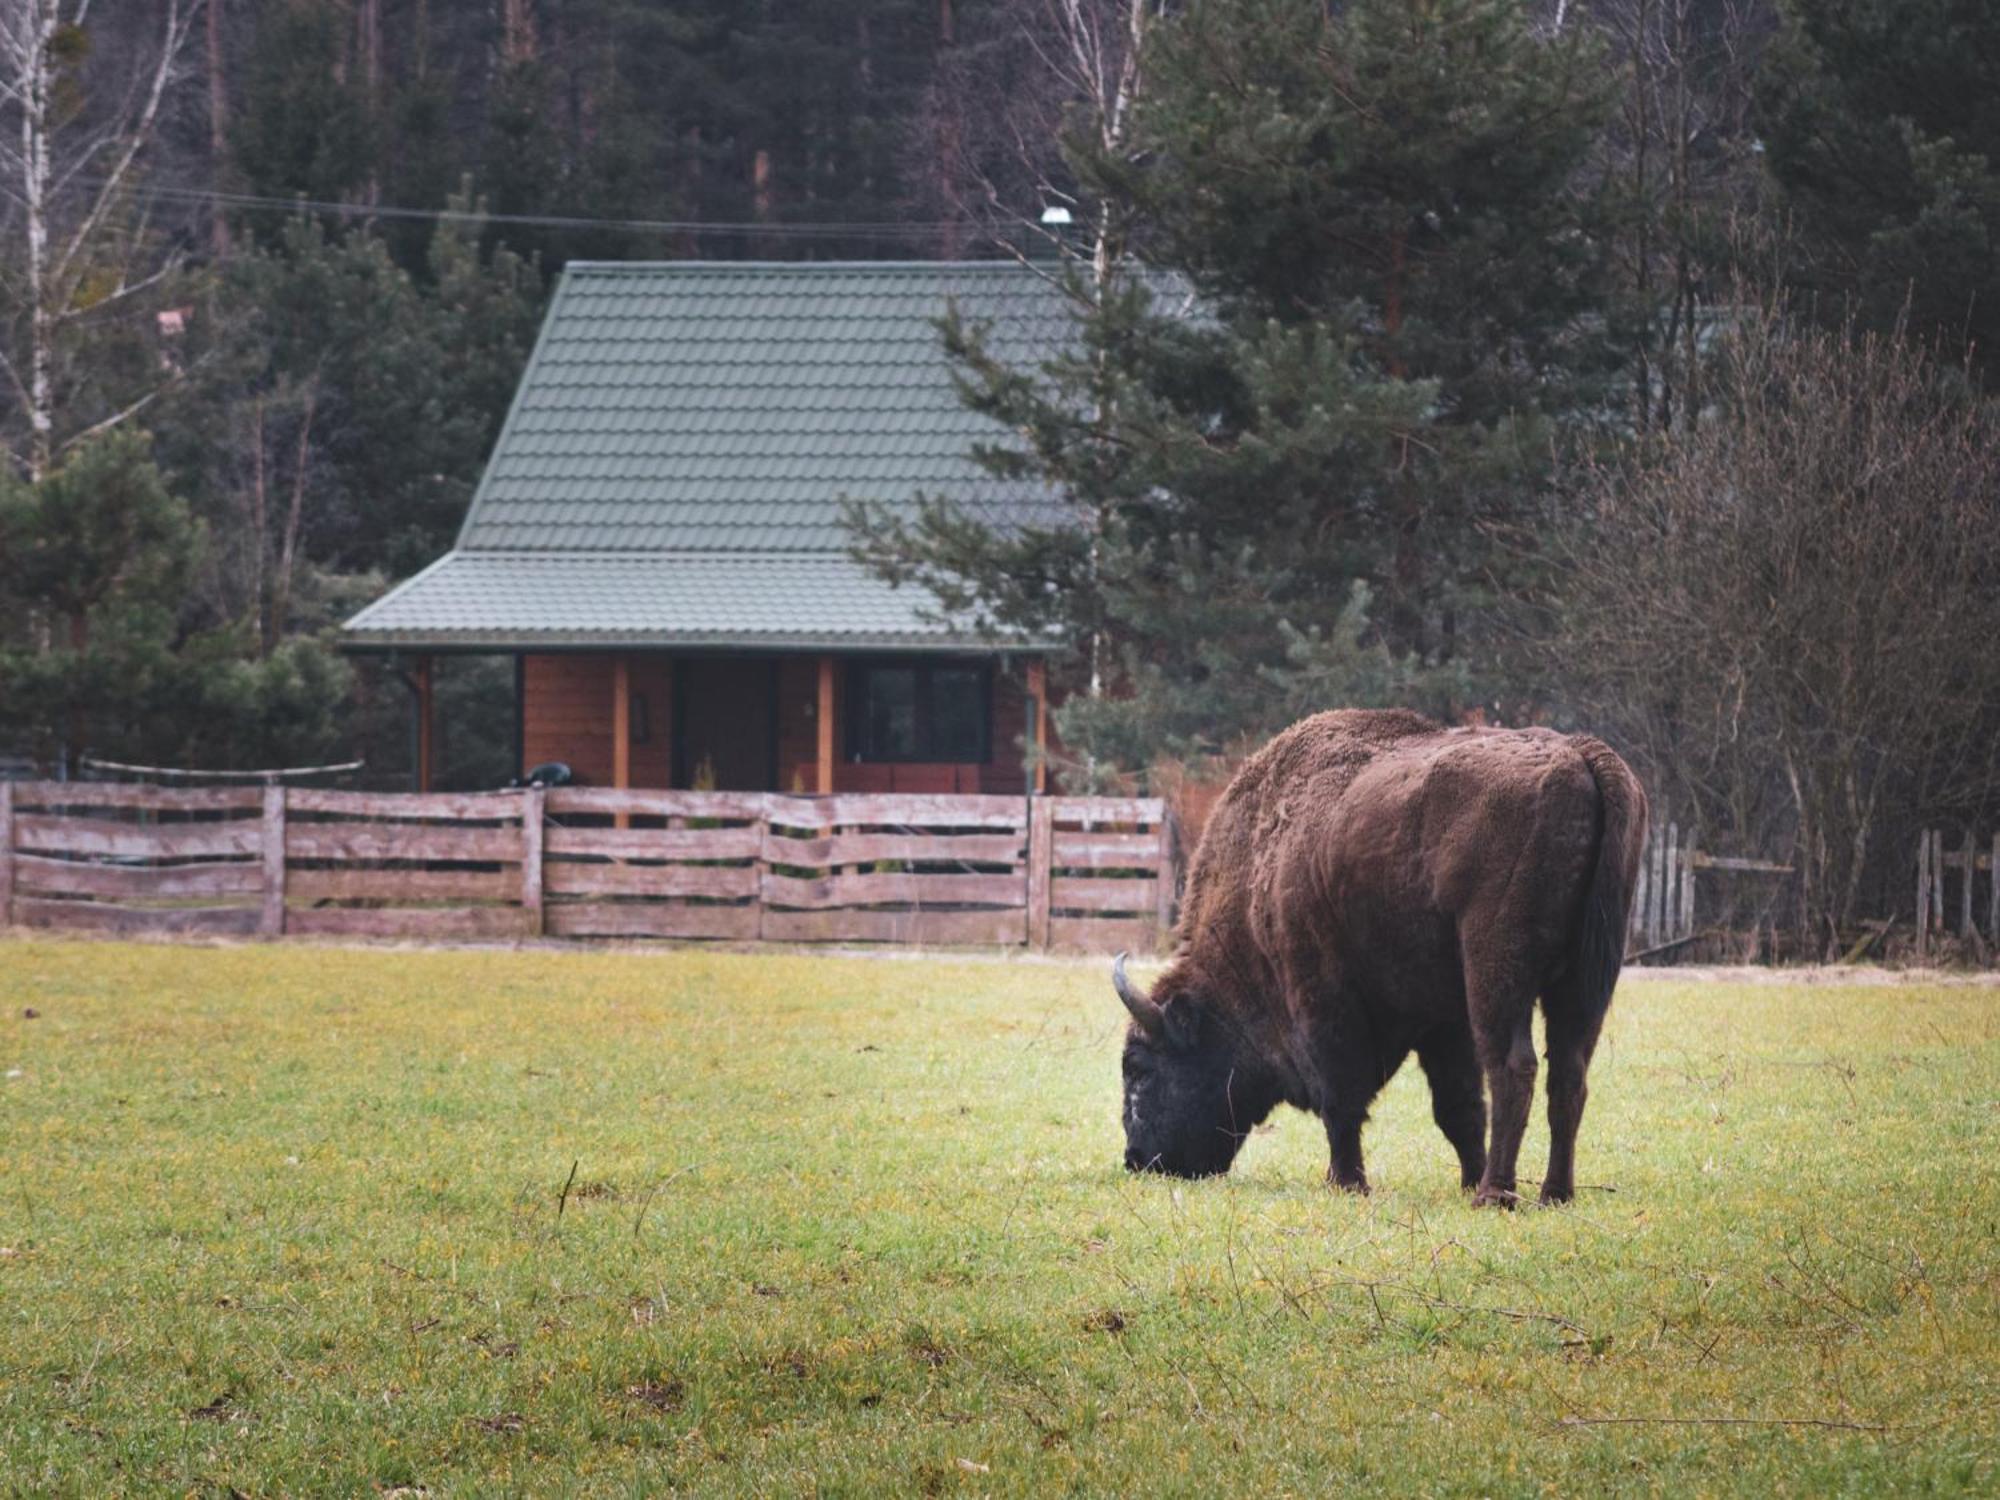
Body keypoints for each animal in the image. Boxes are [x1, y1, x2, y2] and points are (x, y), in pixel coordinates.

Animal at [1112, 712, 1640, 1216]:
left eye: (1138, 1066)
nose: (1137, 1159)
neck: (1263, 872)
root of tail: (1579, 755)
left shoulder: (1322, 1001)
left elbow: (1341, 1097)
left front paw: (1346, 1183)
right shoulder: (1445, 1022)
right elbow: (1458, 1107)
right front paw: (1465, 1176)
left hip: (1497, 975)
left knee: (1514, 1069)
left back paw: (1495, 1195)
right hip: (1585, 981)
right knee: (1568, 1074)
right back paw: (1552, 1194)